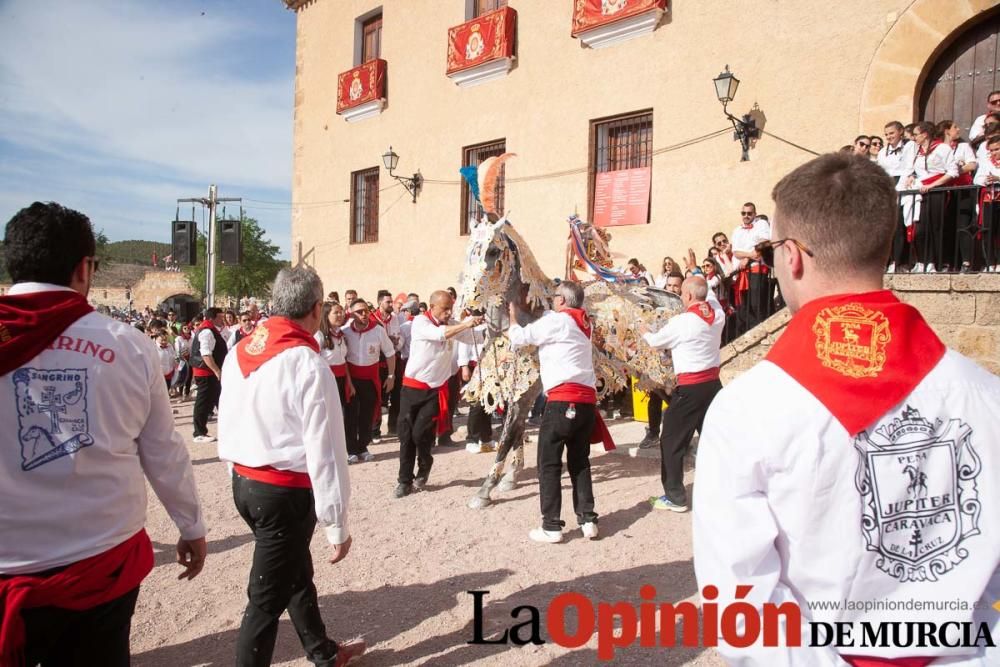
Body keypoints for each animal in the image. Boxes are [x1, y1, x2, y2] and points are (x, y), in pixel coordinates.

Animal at [456, 157, 684, 508]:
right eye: (470, 249)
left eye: (493, 252)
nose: (470, 307)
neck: (529, 312)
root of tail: (672, 298)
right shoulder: (520, 384)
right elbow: (515, 429)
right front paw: (510, 479)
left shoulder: (529, 385)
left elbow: (508, 433)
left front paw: (485, 490)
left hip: (664, 373)